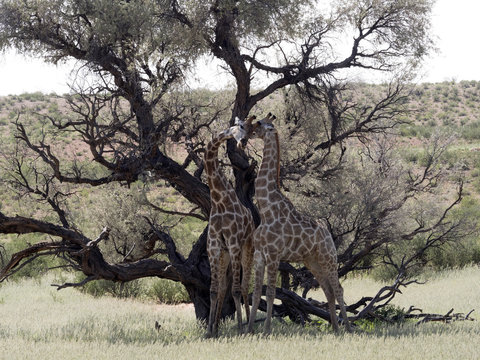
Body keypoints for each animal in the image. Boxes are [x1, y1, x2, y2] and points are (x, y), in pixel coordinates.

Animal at [244, 113, 352, 334]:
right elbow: (257, 292)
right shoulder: (259, 254)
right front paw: (249, 330)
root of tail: (328, 235)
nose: (248, 132)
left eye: (259, 124)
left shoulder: (274, 255)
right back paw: (335, 329)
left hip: (329, 258)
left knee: (338, 288)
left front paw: (266, 331)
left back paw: (348, 328)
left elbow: (270, 293)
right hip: (312, 261)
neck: (266, 208)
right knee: (328, 290)